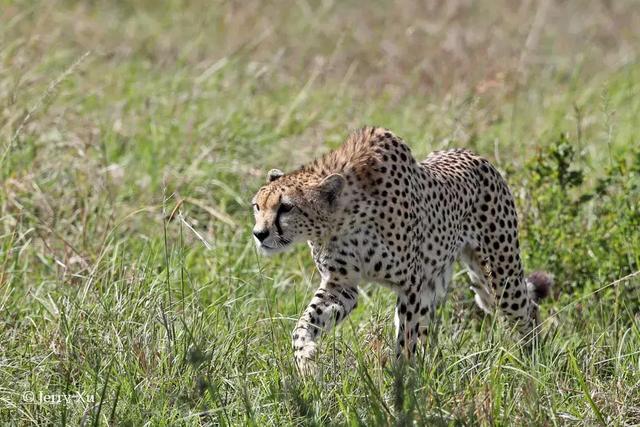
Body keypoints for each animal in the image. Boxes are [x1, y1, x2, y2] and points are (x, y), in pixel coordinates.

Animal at [252, 127, 552, 374]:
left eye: (286, 207)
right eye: (257, 206)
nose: (259, 234)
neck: (342, 218)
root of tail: (471, 153)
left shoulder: (410, 285)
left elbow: (406, 338)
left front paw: (402, 384)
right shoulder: (342, 285)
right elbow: (304, 323)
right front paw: (306, 359)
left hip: (500, 275)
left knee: (527, 308)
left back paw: (534, 364)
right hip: (467, 282)